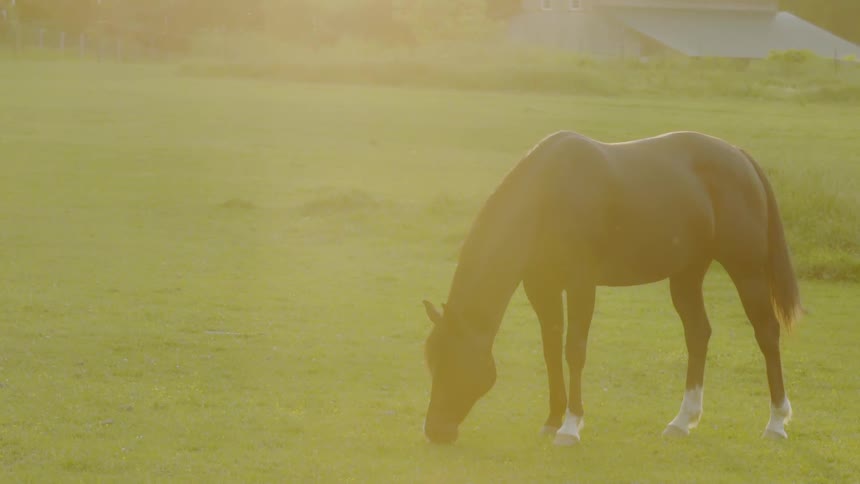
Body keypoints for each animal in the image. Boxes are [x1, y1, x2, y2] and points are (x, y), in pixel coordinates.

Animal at [421, 130, 802, 446]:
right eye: (432, 359)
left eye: (454, 359)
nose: (436, 430)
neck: (548, 194)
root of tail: (740, 157)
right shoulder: (542, 287)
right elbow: (550, 349)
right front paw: (552, 419)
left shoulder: (581, 284)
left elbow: (574, 350)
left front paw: (570, 426)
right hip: (686, 275)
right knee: (698, 334)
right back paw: (682, 421)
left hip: (747, 270)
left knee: (767, 333)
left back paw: (776, 423)